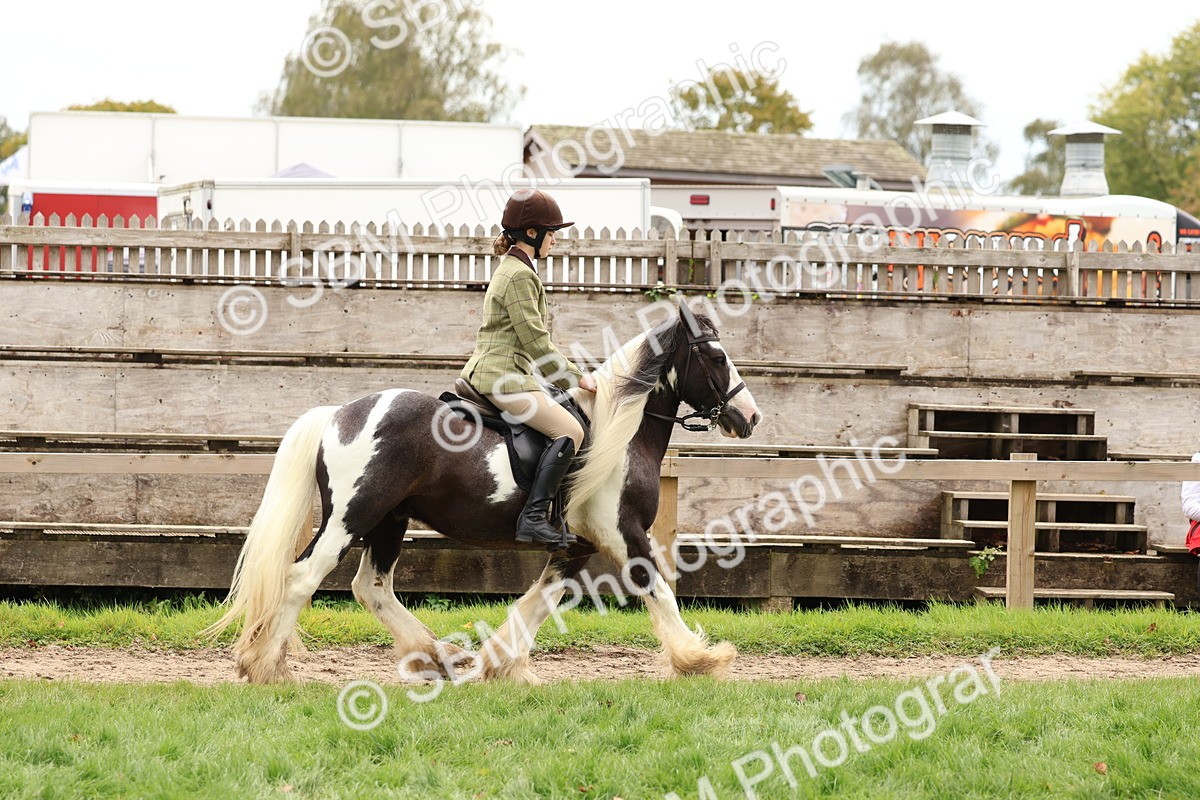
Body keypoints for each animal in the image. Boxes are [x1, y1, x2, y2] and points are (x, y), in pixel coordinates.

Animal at [205, 306, 762, 684]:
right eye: (716, 356)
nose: (750, 417)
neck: (618, 432)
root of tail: (338, 413)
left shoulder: (577, 545)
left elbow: (540, 601)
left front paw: (503, 664)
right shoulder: (623, 533)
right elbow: (659, 590)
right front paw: (700, 659)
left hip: (389, 521)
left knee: (372, 587)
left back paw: (438, 656)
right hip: (352, 517)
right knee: (302, 578)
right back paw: (266, 667)